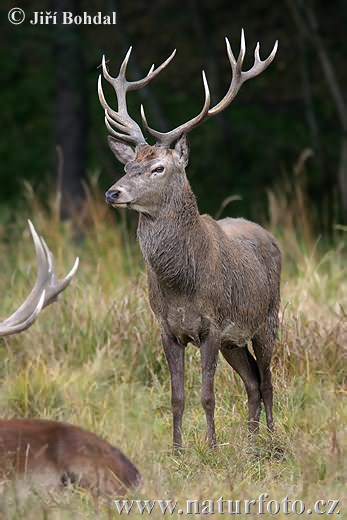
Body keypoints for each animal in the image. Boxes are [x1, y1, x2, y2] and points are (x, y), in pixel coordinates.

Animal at [98, 30, 282, 448]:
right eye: (127, 165)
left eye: (158, 168)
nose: (113, 193)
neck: (181, 283)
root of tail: (268, 234)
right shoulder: (167, 328)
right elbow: (177, 396)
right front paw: (177, 450)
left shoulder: (212, 325)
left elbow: (207, 395)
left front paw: (211, 449)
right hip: (235, 341)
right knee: (251, 382)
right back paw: (249, 445)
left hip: (269, 319)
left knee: (267, 381)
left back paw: (270, 442)